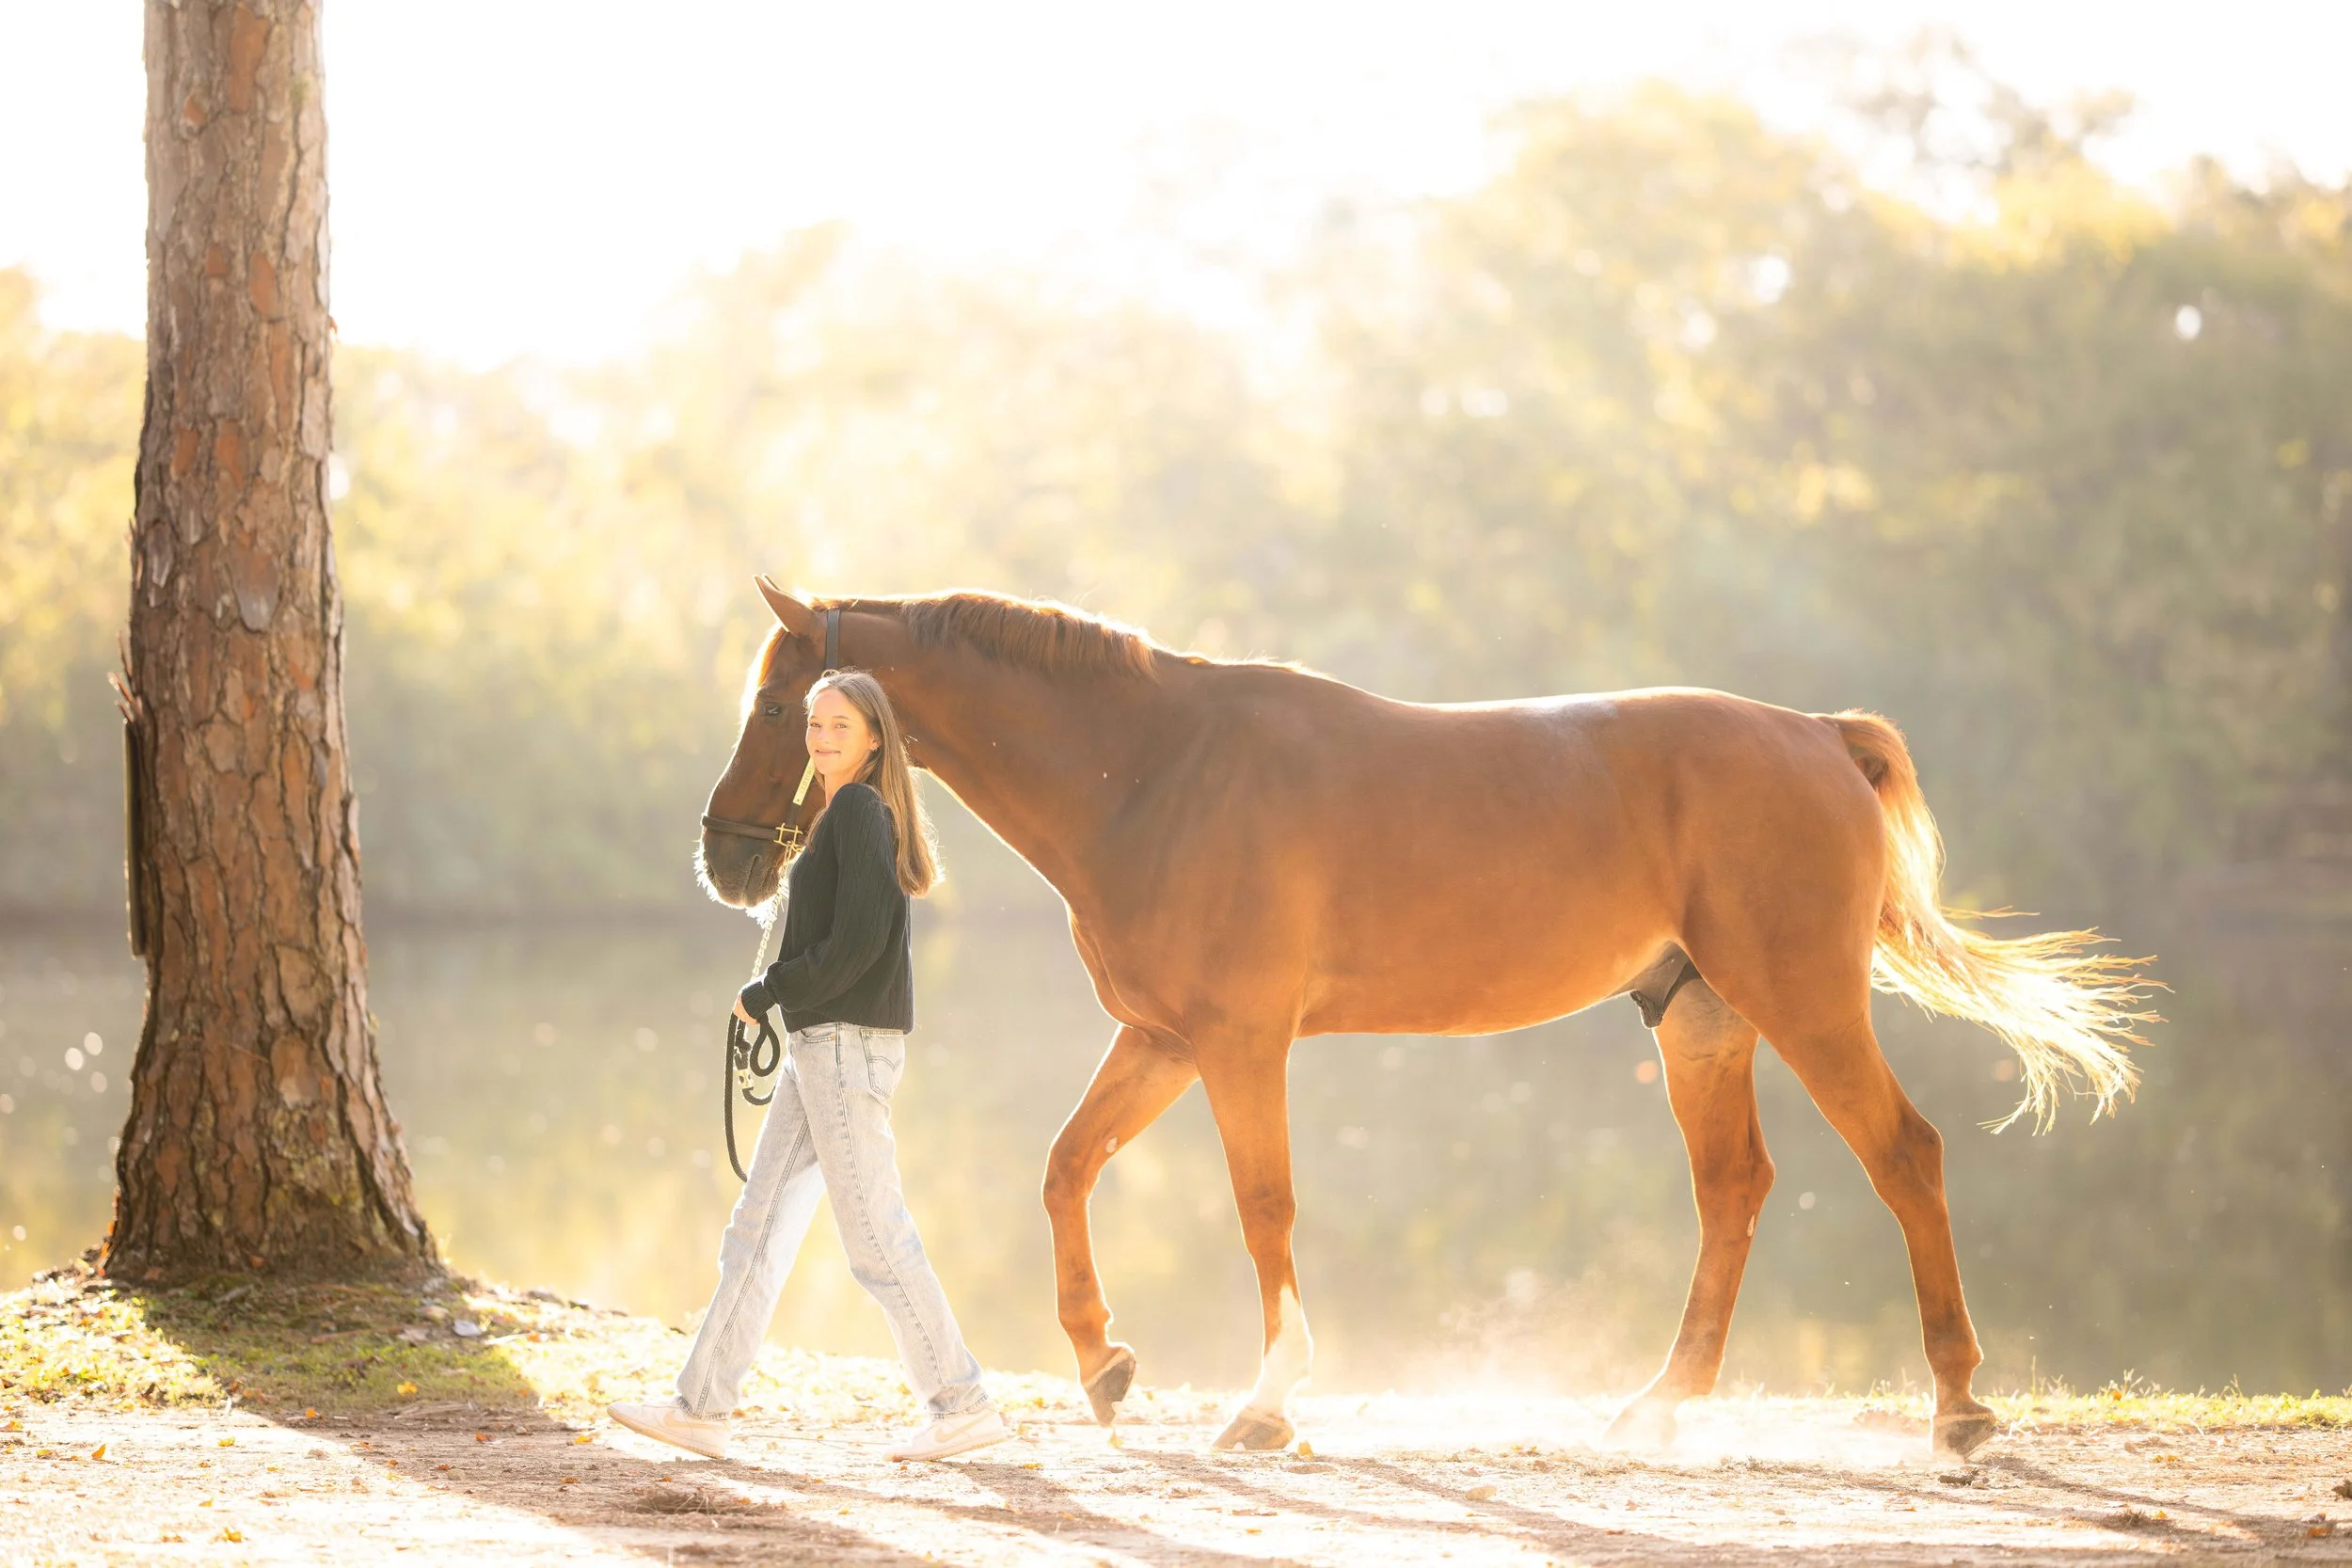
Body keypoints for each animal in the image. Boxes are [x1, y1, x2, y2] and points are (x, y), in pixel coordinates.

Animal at [697, 580, 2153, 1458]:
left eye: (776, 700)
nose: (724, 855)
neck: (1157, 770)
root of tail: (1814, 732)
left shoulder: (1238, 1046)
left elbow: (1263, 1206)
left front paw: (1266, 1405)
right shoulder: (1163, 1038)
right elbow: (1065, 1165)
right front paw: (1107, 1363)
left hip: (1802, 1000)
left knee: (1903, 1153)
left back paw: (1959, 1407)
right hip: (1701, 1018)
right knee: (1734, 1186)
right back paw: (1661, 1403)